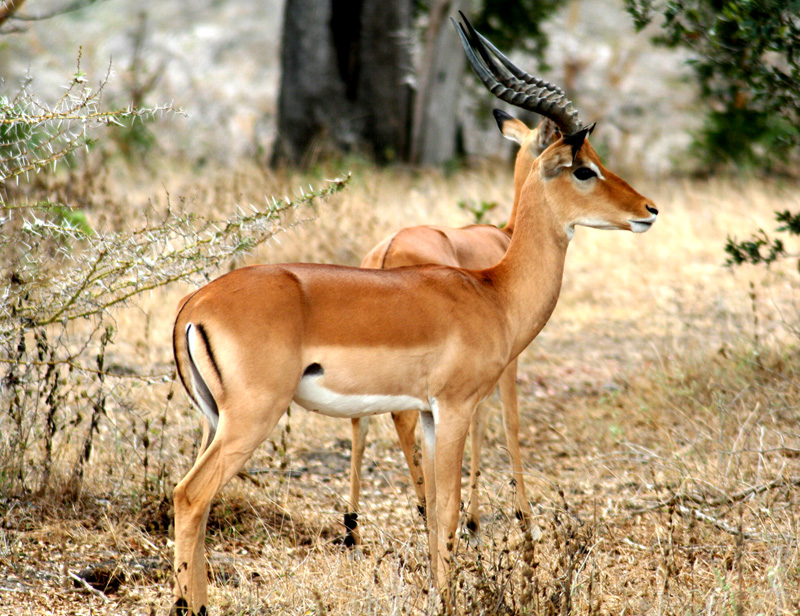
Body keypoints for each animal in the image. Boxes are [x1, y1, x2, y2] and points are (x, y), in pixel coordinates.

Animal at [342, 113, 558, 548]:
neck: (508, 239)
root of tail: (387, 250)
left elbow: (478, 422)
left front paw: (473, 518)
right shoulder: (505, 360)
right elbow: (507, 422)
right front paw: (522, 519)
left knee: (361, 421)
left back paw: (353, 526)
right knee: (401, 418)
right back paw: (425, 506)